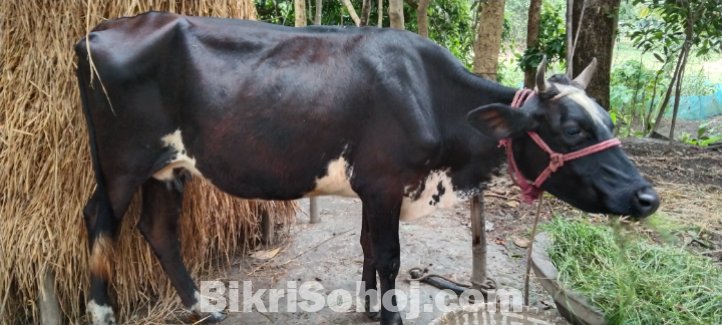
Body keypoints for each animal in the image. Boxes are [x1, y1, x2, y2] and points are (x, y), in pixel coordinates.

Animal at [74, 10, 660, 324]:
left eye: (607, 119)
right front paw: (391, 313)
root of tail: (97, 31)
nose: (647, 197)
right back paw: (102, 312)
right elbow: (389, 254)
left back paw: (202, 307)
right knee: (98, 220)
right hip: (121, 163)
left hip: (167, 167)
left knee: (158, 230)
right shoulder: (384, 182)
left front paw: (369, 304)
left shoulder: (374, 186)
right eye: (571, 129)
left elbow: (367, 249)